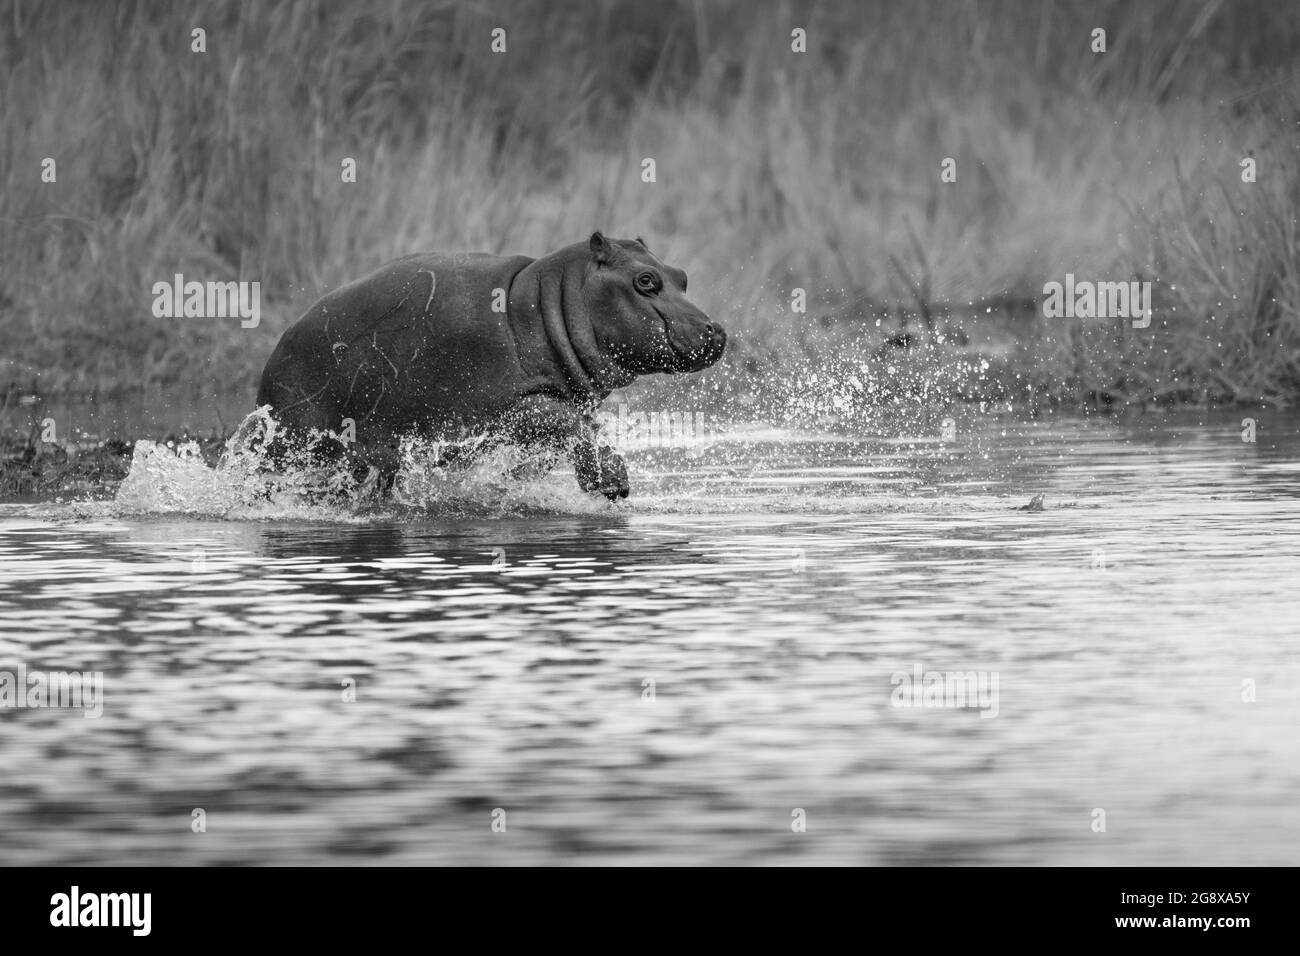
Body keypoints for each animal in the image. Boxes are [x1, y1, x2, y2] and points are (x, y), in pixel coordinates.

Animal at [255, 233, 725, 499]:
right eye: (646, 280)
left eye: (681, 275)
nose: (716, 330)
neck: (548, 300)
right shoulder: (514, 404)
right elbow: (568, 425)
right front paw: (614, 484)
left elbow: (575, 434)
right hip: (298, 443)